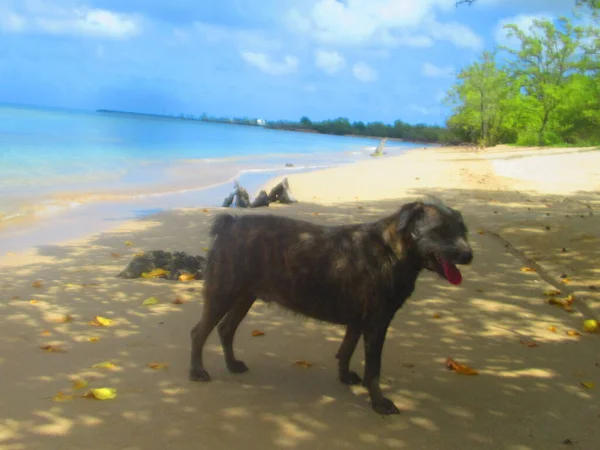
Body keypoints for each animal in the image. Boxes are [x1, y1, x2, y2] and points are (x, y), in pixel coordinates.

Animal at [190, 197, 472, 414]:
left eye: (463, 230)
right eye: (440, 230)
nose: (469, 255)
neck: (392, 248)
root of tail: (229, 223)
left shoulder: (359, 321)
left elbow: (345, 351)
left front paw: (345, 377)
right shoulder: (377, 323)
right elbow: (373, 368)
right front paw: (378, 401)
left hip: (244, 296)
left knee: (226, 329)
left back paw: (232, 364)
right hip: (223, 293)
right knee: (198, 332)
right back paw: (197, 371)